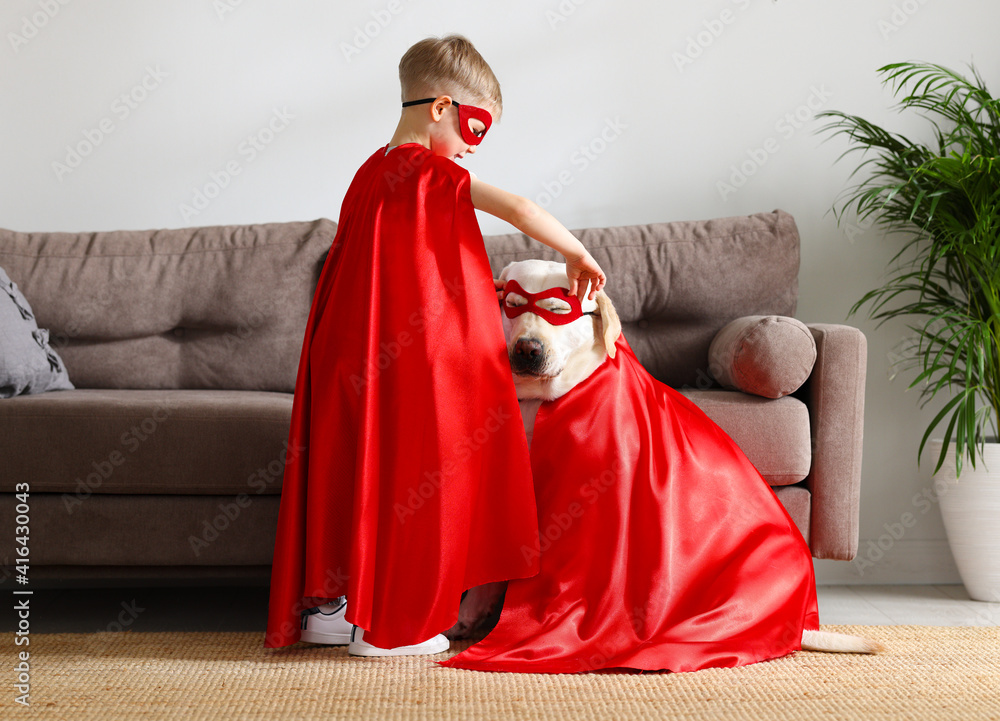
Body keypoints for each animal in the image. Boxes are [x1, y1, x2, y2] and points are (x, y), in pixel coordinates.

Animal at [448, 258, 884, 652]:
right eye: (513, 305)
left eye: (557, 311)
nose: (527, 349)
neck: (539, 403)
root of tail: (797, 622)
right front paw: (471, 615)